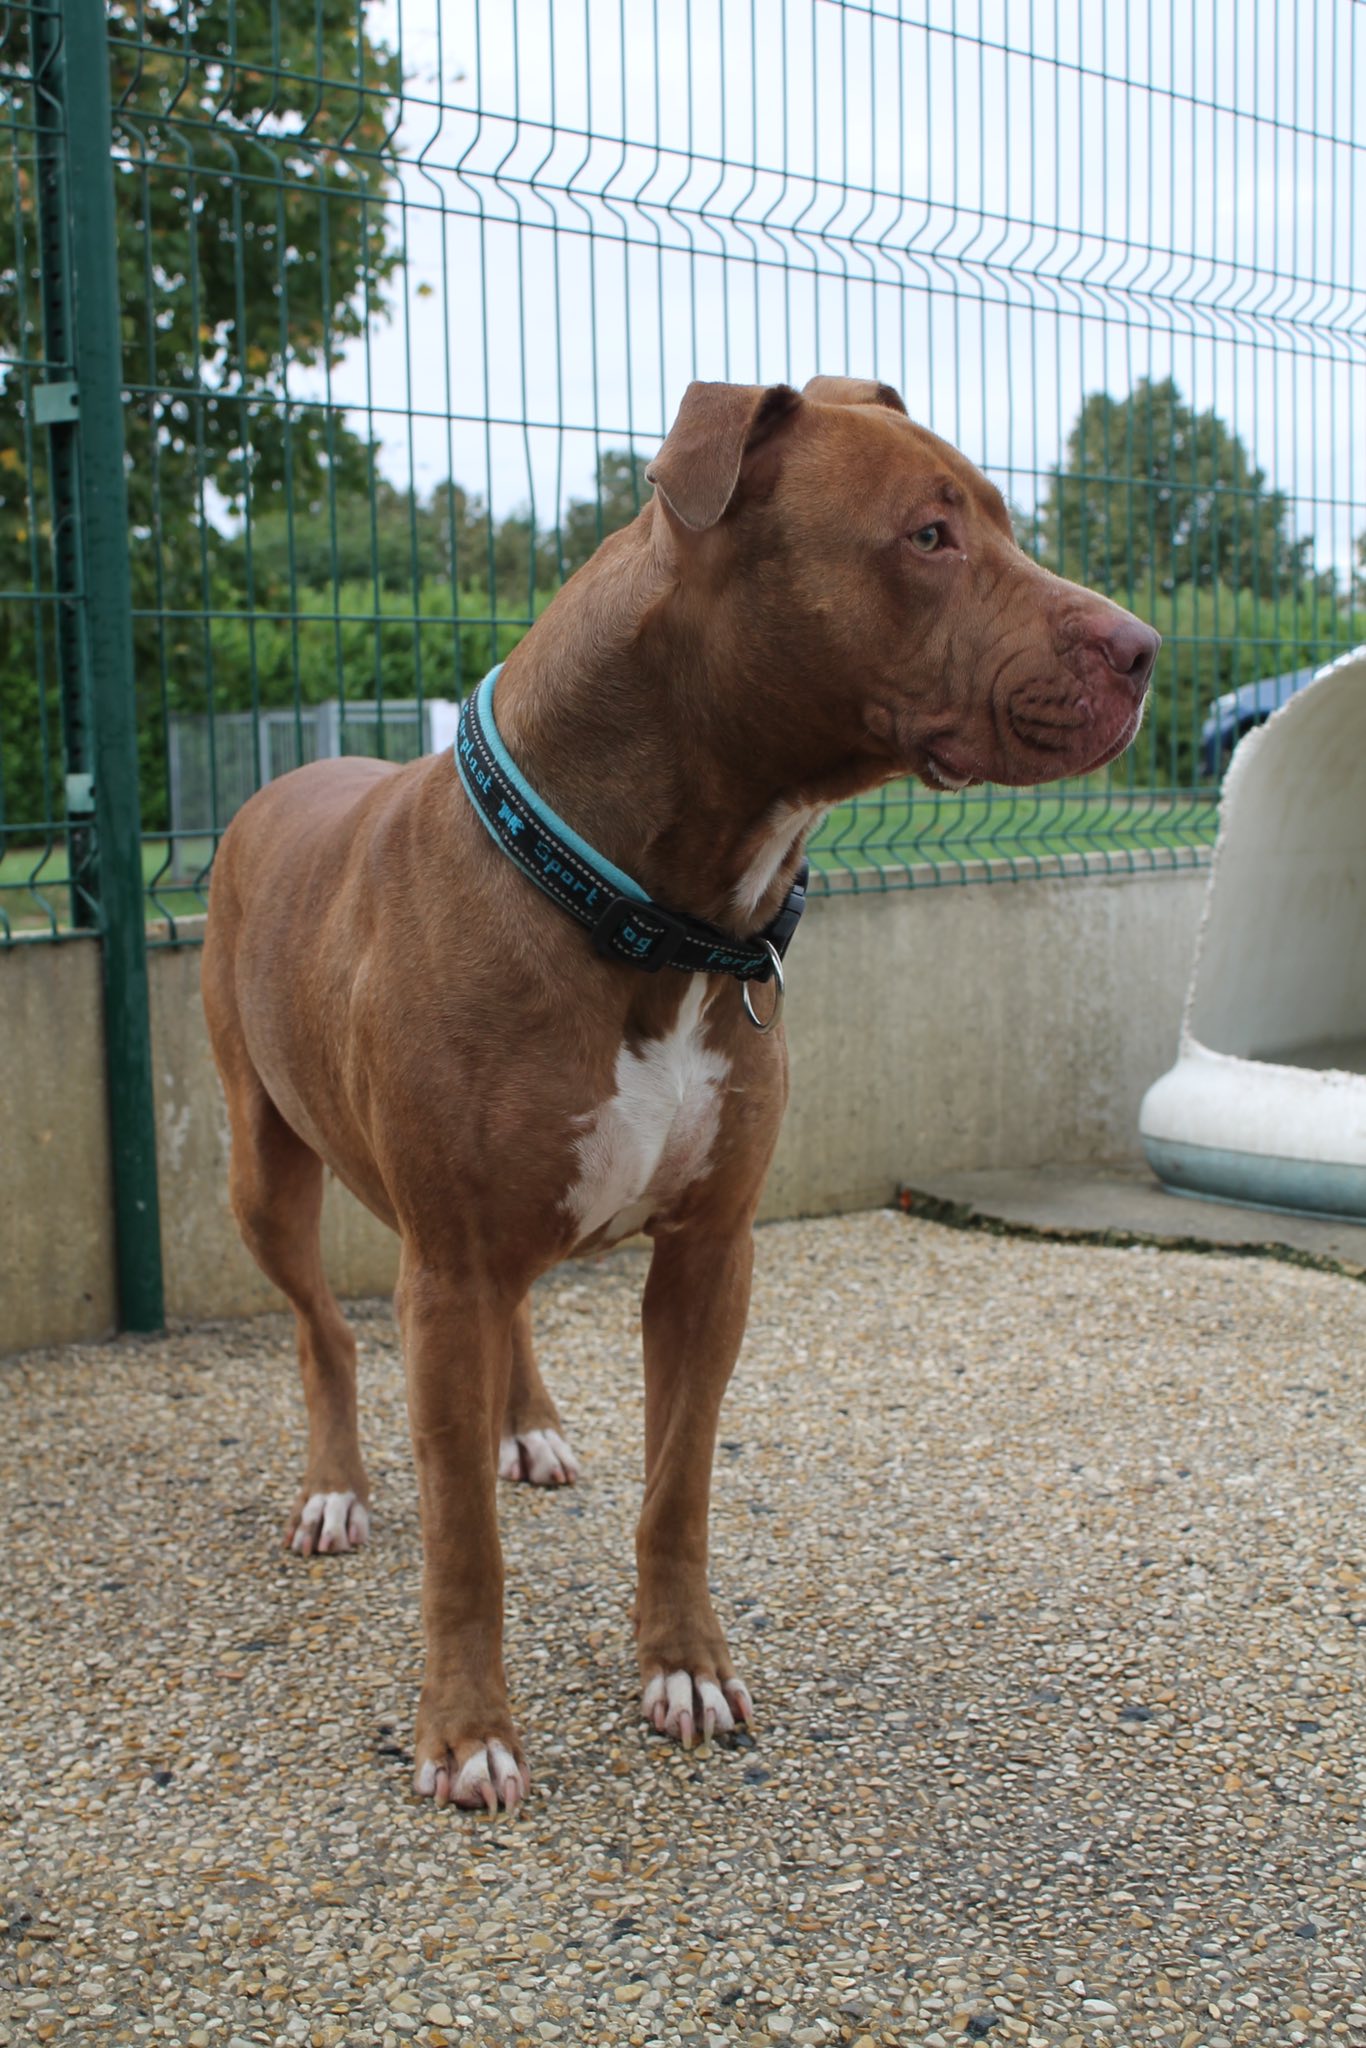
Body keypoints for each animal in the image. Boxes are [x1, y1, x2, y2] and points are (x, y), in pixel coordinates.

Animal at [202, 377, 1157, 1811]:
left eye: (1000, 517)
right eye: (928, 534)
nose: (1145, 647)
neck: (650, 912)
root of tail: (282, 782)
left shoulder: (710, 1254)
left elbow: (678, 1486)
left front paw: (683, 1667)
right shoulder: (448, 1261)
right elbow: (462, 1542)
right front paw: (467, 1729)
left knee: (509, 1319)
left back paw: (528, 1425)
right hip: (263, 1167)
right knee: (322, 1329)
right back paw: (338, 1488)